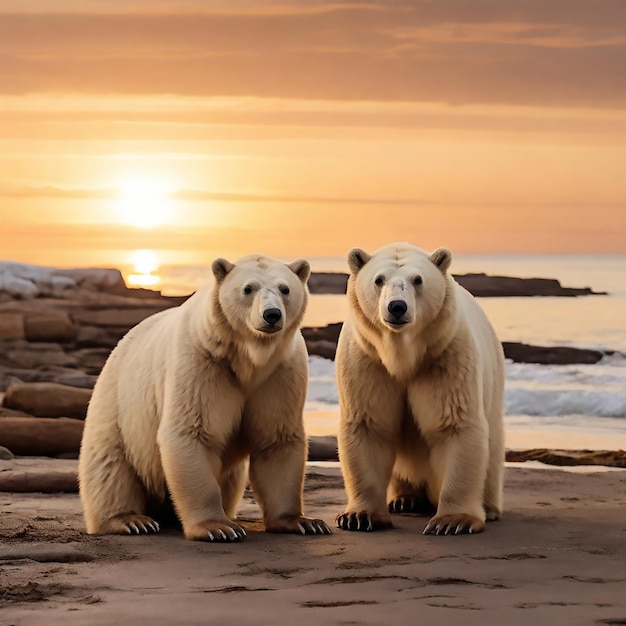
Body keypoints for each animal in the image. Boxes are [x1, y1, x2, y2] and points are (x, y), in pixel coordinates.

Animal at [78, 251, 332, 540]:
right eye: (248, 288)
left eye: (285, 288)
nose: (272, 314)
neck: (247, 358)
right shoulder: (202, 361)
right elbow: (192, 431)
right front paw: (218, 527)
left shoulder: (280, 372)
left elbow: (277, 438)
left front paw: (302, 521)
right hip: (120, 408)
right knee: (110, 466)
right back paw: (130, 519)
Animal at [334, 241, 504, 532]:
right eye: (378, 279)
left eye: (417, 280)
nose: (397, 307)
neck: (402, 355)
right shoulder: (366, 360)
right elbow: (369, 425)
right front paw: (359, 516)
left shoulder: (446, 357)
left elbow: (455, 424)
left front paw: (452, 520)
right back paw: (406, 498)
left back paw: (489, 507)